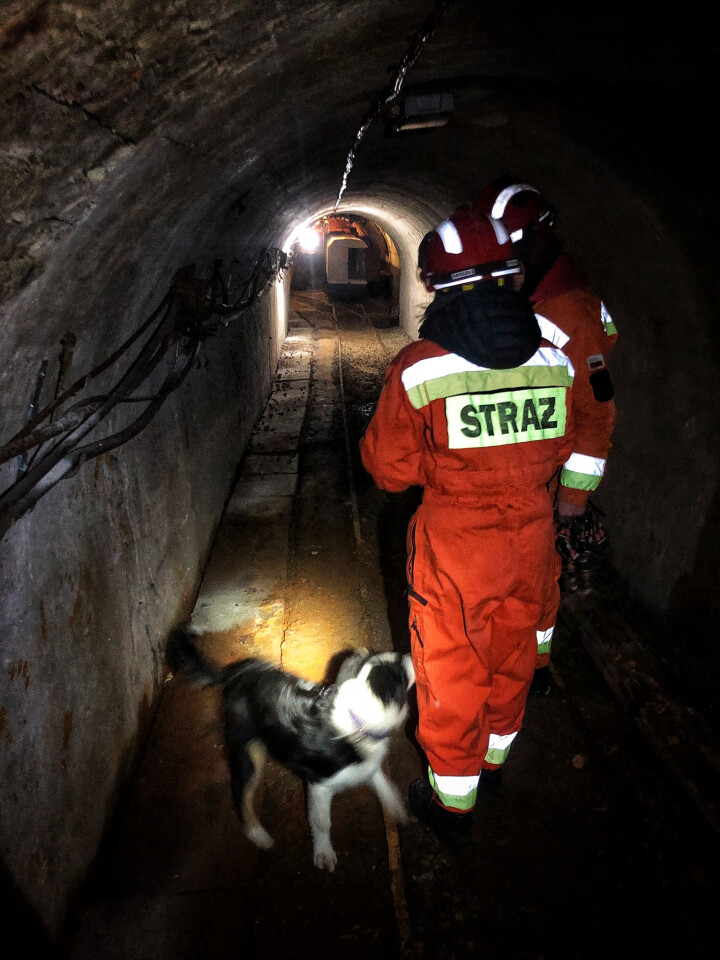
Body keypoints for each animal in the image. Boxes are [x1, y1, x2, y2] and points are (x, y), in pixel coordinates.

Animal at [167, 625, 415, 871]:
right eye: (401, 670)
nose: (412, 653)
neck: (356, 719)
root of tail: (239, 672)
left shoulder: (366, 764)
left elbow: (382, 782)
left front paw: (397, 808)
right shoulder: (319, 786)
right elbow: (322, 822)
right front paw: (324, 853)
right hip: (248, 752)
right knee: (242, 793)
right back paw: (258, 834)